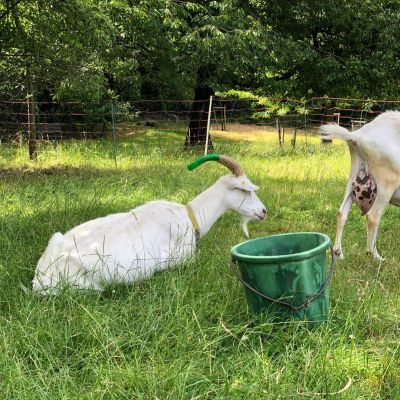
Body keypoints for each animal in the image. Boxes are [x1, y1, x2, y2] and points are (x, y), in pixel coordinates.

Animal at [320, 111, 400, 260]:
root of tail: (358, 136)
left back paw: (338, 252)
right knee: (373, 216)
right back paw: (375, 255)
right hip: (386, 184)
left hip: (353, 178)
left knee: (342, 212)